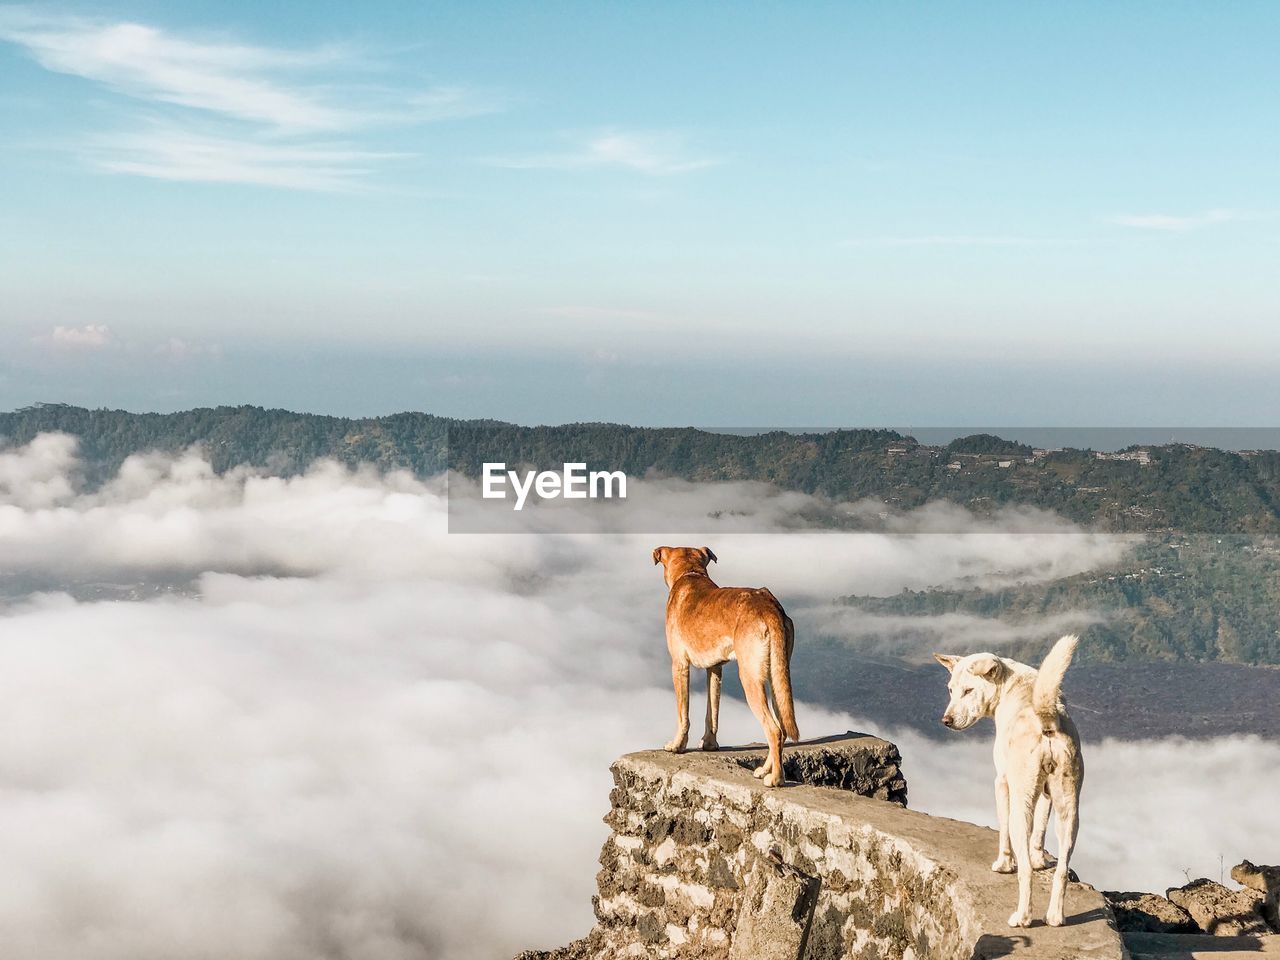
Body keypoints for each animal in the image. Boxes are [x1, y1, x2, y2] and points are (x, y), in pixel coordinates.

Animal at [650, 545, 798, 783]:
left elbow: (683, 713)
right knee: (782, 728)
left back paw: (775, 779)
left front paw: (677, 745)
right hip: (778, 676)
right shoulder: (715, 669)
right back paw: (765, 770)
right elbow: (713, 710)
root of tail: (769, 606)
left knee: (774, 730)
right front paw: (709, 743)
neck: (690, 573)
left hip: (750, 677)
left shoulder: (679, 665)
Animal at [936, 634, 1085, 926]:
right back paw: (1054, 916)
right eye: (950, 690)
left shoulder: (1002, 783)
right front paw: (1040, 859)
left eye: (968, 691)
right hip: (1069, 810)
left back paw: (1023, 916)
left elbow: (1003, 829)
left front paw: (1003, 864)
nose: (946, 720)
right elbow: (1040, 831)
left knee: (1024, 870)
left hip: (1021, 807)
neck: (1010, 684)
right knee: (1062, 869)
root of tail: (1047, 721)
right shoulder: (1047, 793)